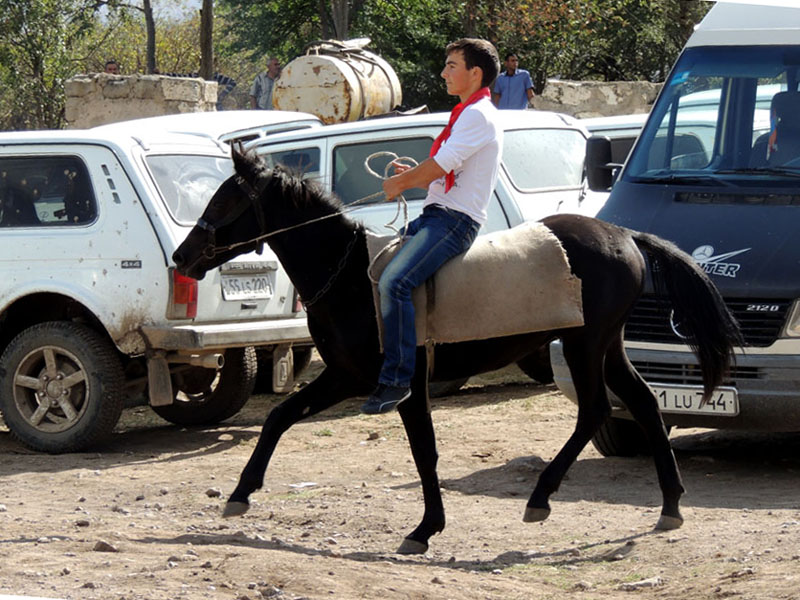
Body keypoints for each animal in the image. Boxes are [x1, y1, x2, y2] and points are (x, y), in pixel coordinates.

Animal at [172, 149, 740, 552]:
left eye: (223, 202)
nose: (182, 256)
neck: (351, 275)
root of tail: (622, 234)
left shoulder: (400, 382)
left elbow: (424, 450)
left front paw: (425, 529)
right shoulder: (347, 376)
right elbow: (279, 417)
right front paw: (240, 494)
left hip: (585, 345)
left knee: (596, 410)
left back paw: (541, 497)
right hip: (607, 346)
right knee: (642, 402)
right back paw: (670, 506)